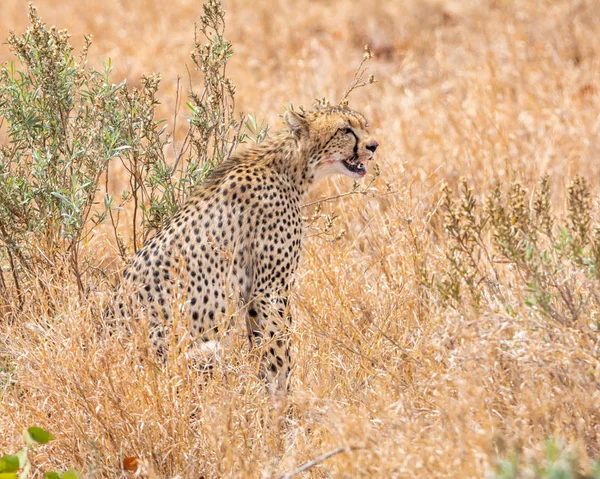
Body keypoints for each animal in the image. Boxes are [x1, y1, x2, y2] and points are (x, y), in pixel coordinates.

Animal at [114, 105, 378, 390]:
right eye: (345, 130)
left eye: (364, 125)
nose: (374, 145)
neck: (290, 167)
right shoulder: (269, 291)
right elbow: (279, 351)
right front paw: (282, 396)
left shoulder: (255, 293)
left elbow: (263, 347)